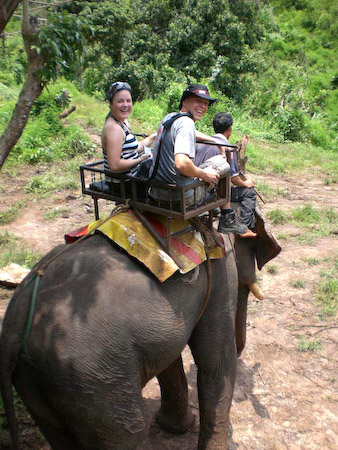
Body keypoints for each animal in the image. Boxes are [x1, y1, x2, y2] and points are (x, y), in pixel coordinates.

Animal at [0, 232, 238, 450]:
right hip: (93, 380)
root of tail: (15, 331)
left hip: (40, 381)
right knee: (131, 430)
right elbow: (216, 363)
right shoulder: (221, 268)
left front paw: (175, 427)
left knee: (56, 432)